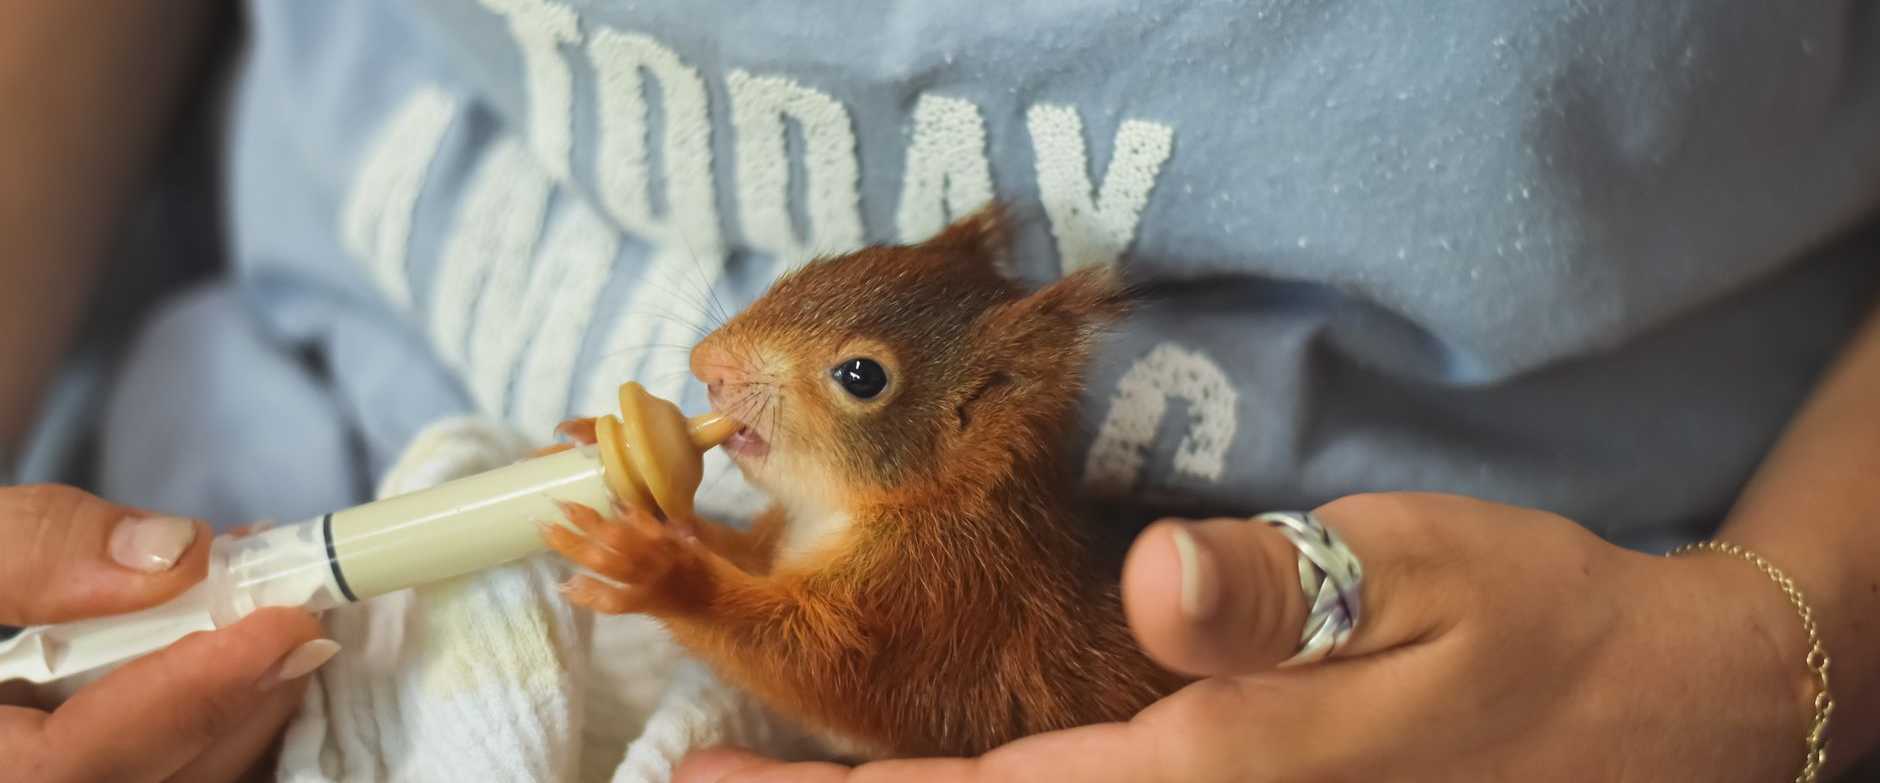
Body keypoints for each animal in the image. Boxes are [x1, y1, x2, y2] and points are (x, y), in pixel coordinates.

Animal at [540, 203, 1190, 760]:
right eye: (815, 268)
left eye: (862, 376)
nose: (707, 366)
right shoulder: (786, 544)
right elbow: (741, 554)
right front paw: (611, 461)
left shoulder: (935, 602)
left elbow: (812, 667)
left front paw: (657, 572)